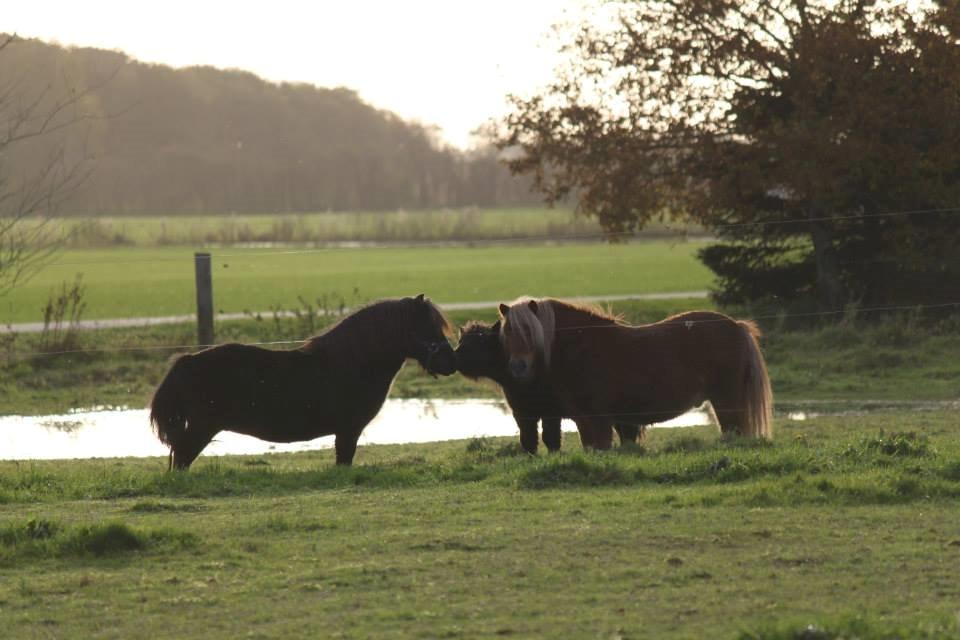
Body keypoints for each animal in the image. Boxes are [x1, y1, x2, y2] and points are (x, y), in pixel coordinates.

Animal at [150, 292, 458, 468]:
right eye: (426, 327)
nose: (451, 361)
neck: (352, 363)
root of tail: (188, 360)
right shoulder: (348, 431)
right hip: (201, 429)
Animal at [454, 320, 640, 456]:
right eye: (462, 340)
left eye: (481, 340)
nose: (455, 356)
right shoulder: (522, 412)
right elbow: (528, 438)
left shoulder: (551, 412)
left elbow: (550, 438)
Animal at [496, 298, 772, 448]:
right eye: (507, 330)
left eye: (529, 330)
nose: (518, 366)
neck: (583, 346)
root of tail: (737, 326)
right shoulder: (584, 420)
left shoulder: (600, 420)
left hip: (727, 401)